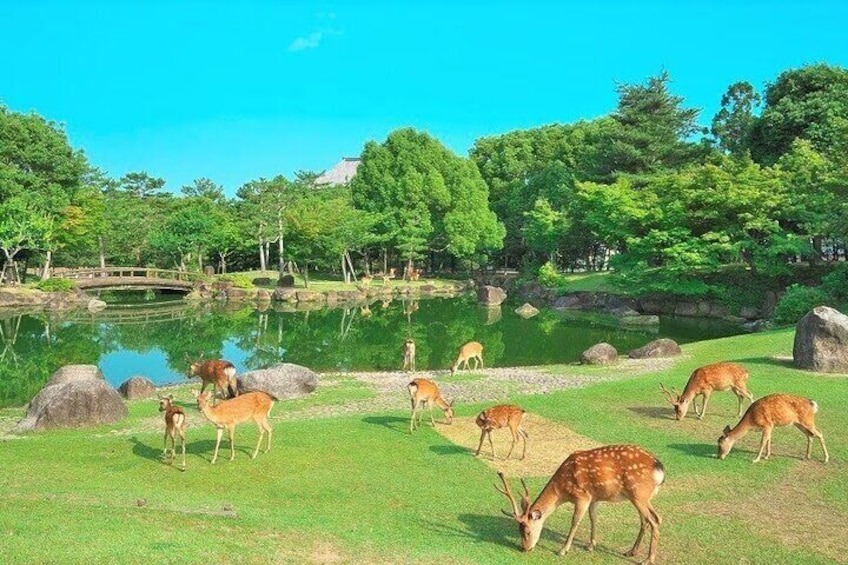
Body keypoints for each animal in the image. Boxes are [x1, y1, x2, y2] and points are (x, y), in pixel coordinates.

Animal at [496, 445, 664, 564]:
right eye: (518, 530)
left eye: (528, 531)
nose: (524, 548)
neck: (562, 490)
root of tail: (660, 468)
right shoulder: (594, 498)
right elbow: (593, 518)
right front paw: (591, 545)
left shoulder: (582, 496)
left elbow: (575, 521)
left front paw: (563, 550)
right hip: (640, 497)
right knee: (646, 520)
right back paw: (631, 551)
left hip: (639, 493)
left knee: (655, 520)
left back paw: (648, 559)